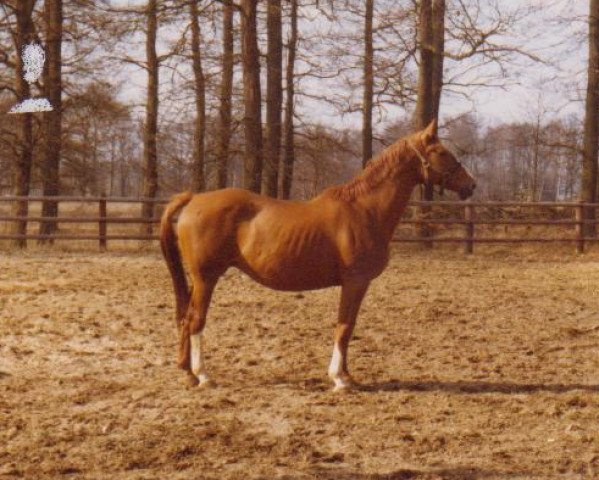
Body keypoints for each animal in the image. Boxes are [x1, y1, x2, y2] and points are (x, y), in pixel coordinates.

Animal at [161, 120, 478, 390]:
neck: (365, 210)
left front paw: (347, 376)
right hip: (206, 278)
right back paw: (203, 376)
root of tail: (194, 198)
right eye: (441, 152)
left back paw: (188, 373)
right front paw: (340, 379)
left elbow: (347, 326)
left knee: (186, 319)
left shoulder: (357, 285)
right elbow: (345, 327)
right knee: (195, 321)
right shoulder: (355, 282)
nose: (471, 184)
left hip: (199, 280)